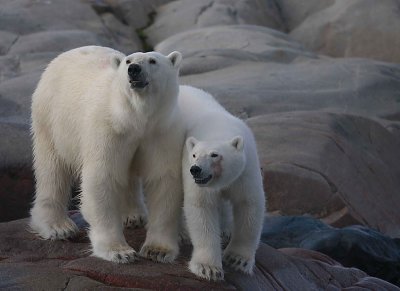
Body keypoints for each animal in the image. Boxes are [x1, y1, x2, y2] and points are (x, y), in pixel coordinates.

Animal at [30, 45, 184, 264]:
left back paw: (134, 215)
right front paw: (119, 252)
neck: (134, 118)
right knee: (52, 169)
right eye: (128, 61)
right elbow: (103, 179)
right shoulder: (109, 130)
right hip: (52, 118)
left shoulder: (161, 133)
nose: (134, 70)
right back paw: (57, 226)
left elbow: (163, 181)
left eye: (153, 61)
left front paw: (158, 251)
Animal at [179, 85, 266, 282]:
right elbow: (202, 207)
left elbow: (248, 204)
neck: (218, 127)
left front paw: (237, 259)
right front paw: (208, 268)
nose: (195, 169)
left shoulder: (245, 170)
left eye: (215, 154)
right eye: (194, 155)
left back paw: (225, 229)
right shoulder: (194, 177)